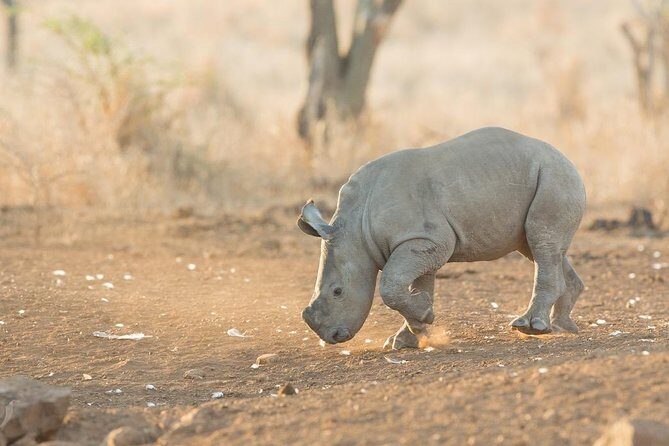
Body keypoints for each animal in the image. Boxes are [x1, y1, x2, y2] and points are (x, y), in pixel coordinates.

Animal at [298, 127, 586, 349]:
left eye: (337, 292)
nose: (331, 336)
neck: (356, 229)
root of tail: (568, 160)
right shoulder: (422, 242)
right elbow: (415, 286)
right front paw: (410, 334)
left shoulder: (427, 239)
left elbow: (391, 286)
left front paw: (422, 319)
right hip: (544, 178)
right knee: (540, 248)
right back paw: (561, 326)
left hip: (554, 177)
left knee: (541, 242)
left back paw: (531, 327)